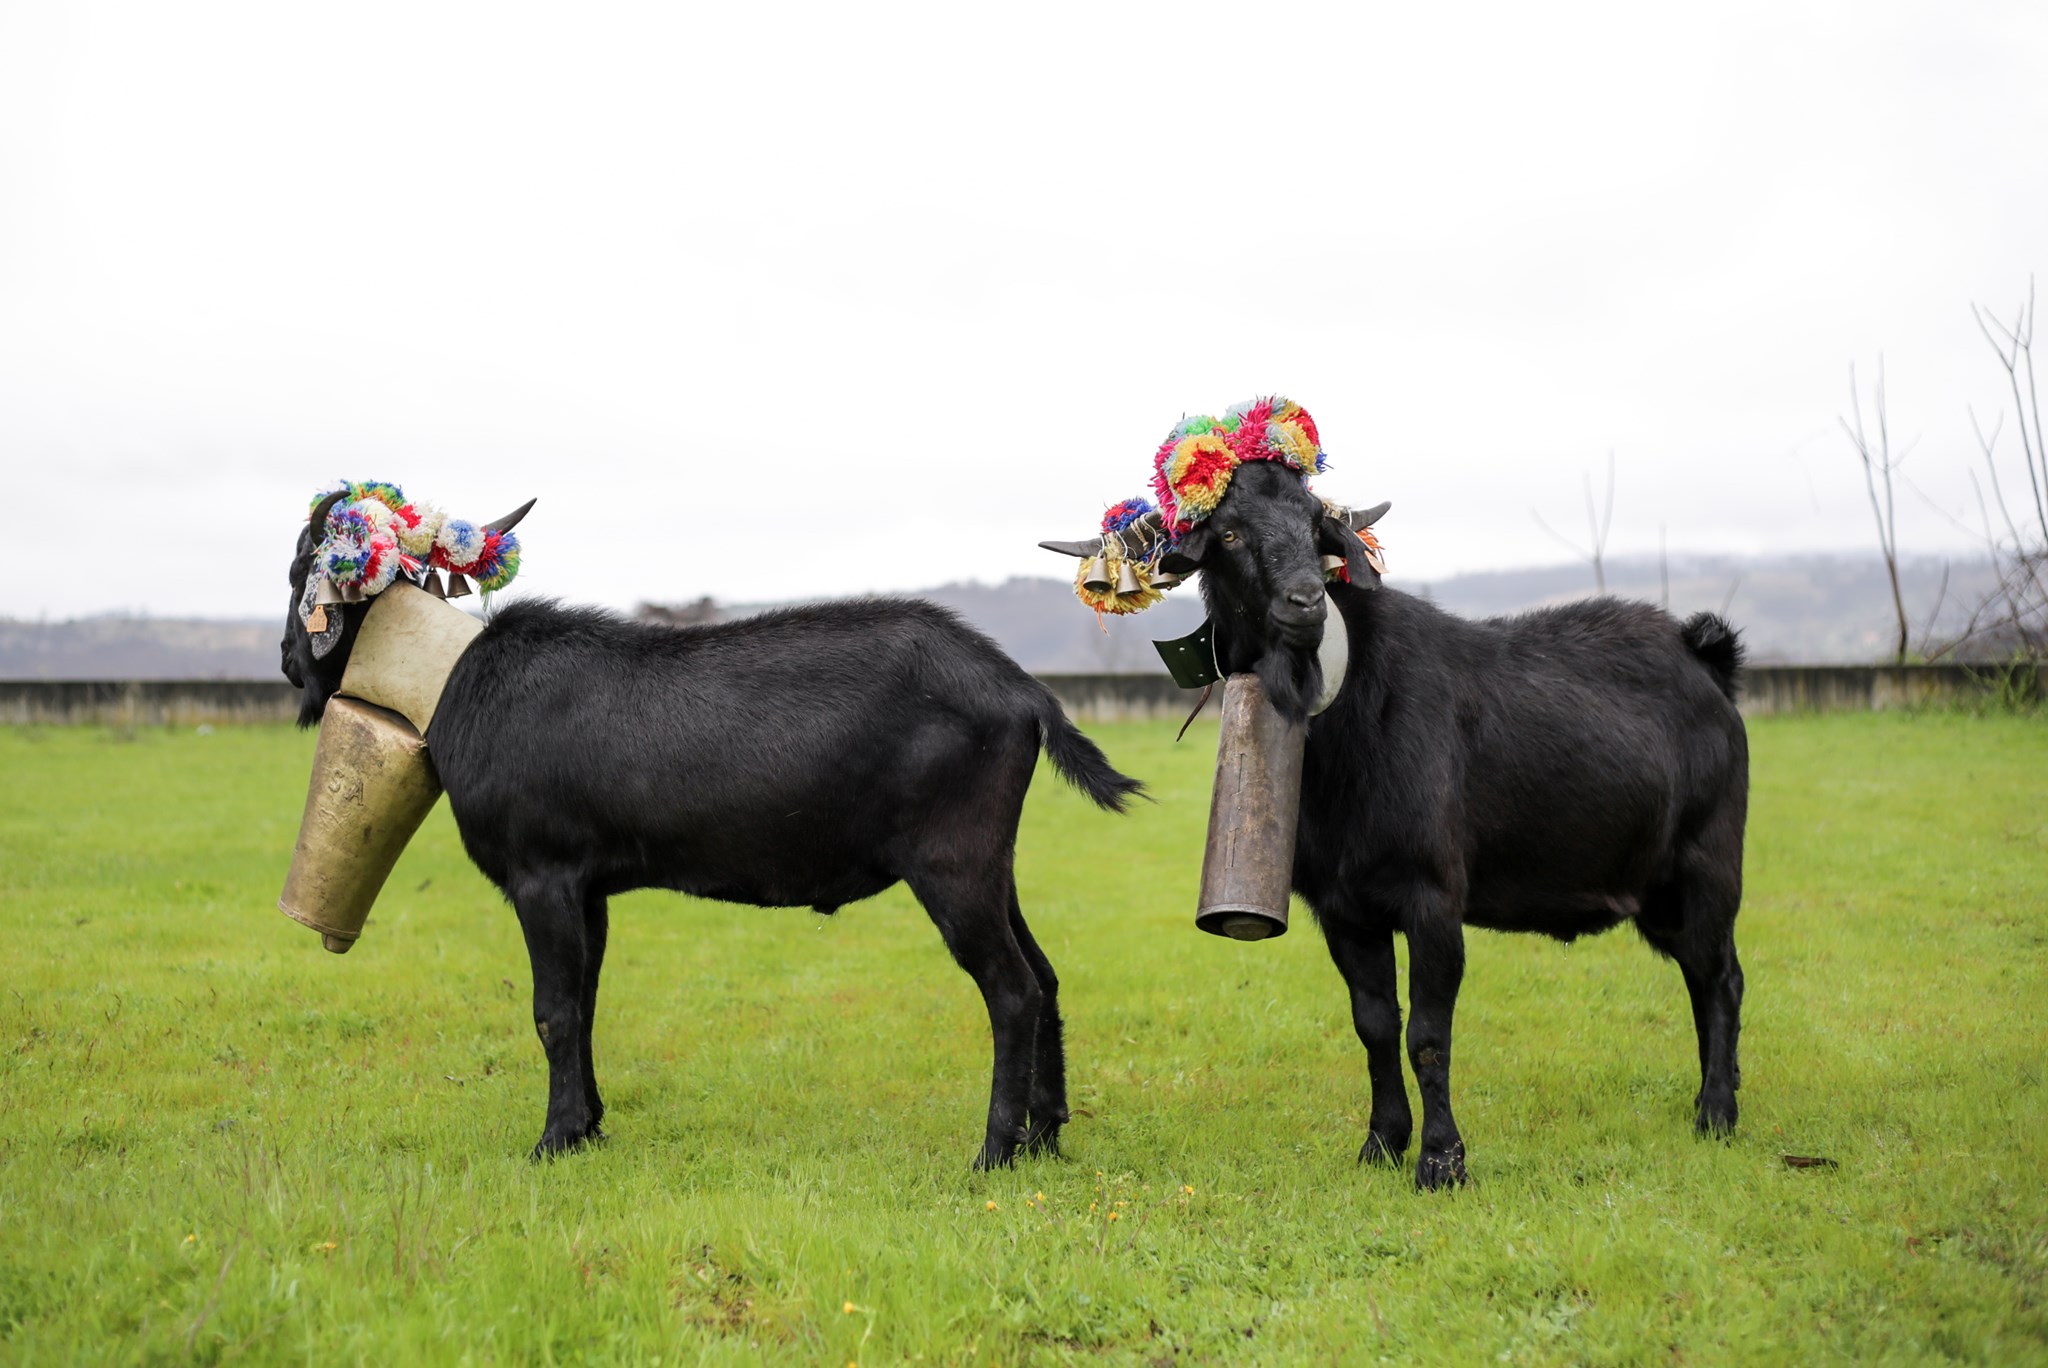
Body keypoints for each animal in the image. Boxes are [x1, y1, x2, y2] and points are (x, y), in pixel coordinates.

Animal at [1073, 462, 1744, 1187]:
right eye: (1229, 532)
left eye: (1313, 523)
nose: (1305, 602)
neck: (1355, 719)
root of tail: (1707, 658)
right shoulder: (1344, 911)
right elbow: (1375, 1025)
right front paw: (1382, 1143)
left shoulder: (1433, 900)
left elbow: (1427, 1034)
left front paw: (1442, 1161)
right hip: (1659, 894)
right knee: (1701, 975)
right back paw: (1712, 1099)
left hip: (1708, 867)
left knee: (1720, 978)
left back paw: (1717, 1113)